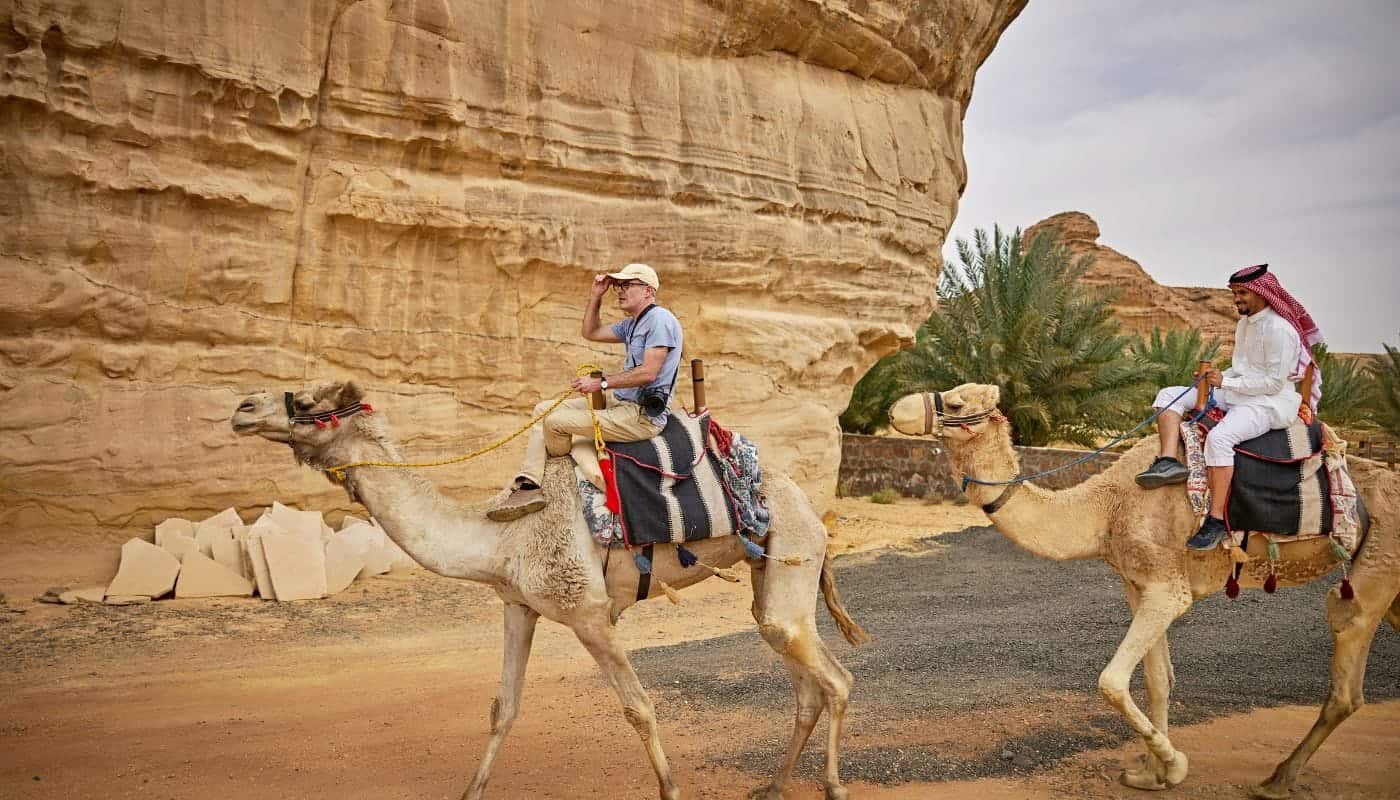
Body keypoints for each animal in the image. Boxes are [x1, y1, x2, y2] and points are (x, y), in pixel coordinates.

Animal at [229, 381, 862, 800]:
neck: (501, 536)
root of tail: (809, 504)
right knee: (801, 676)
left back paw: (832, 786)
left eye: (311, 405)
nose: (241, 408)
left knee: (834, 678)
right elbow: (503, 708)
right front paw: (470, 792)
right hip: (770, 572)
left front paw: (670, 790)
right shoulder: (517, 606)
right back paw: (775, 786)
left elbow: (639, 708)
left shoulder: (588, 612)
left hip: (792, 549)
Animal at [890, 383, 1394, 795]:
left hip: (1375, 569)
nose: (896, 409)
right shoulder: (1138, 584)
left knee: (1346, 677)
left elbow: (1112, 681)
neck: (1105, 507)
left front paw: (1174, 765)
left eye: (957, 402)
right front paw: (1152, 774)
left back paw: (1277, 780)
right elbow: (1157, 680)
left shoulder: (1167, 589)